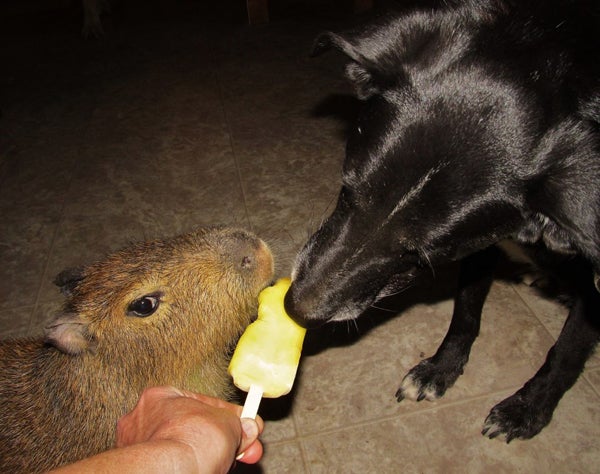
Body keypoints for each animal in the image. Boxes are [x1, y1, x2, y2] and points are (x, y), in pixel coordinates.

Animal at [288, 0, 600, 442]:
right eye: (347, 189)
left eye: (422, 255)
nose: (295, 309)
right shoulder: (482, 247)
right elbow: (464, 312)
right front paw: (441, 368)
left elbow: (567, 352)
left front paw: (528, 409)